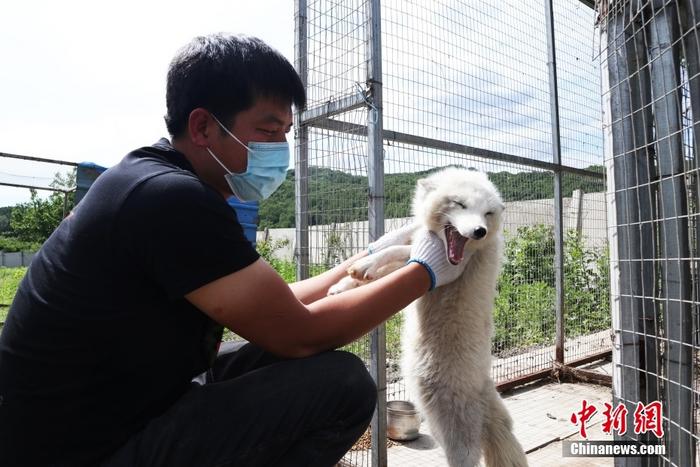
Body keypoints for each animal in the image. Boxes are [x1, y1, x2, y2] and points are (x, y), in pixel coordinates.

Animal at [330, 168, 528, 467]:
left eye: (488, 213)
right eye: (460, 204)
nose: (479, 232)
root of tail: (485, 385)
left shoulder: (422, 260)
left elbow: (396, 254)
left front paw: (364, 266)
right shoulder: (412, 252)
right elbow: (388, 257)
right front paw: (343, 285)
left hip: (452, 426)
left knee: (467, 457)